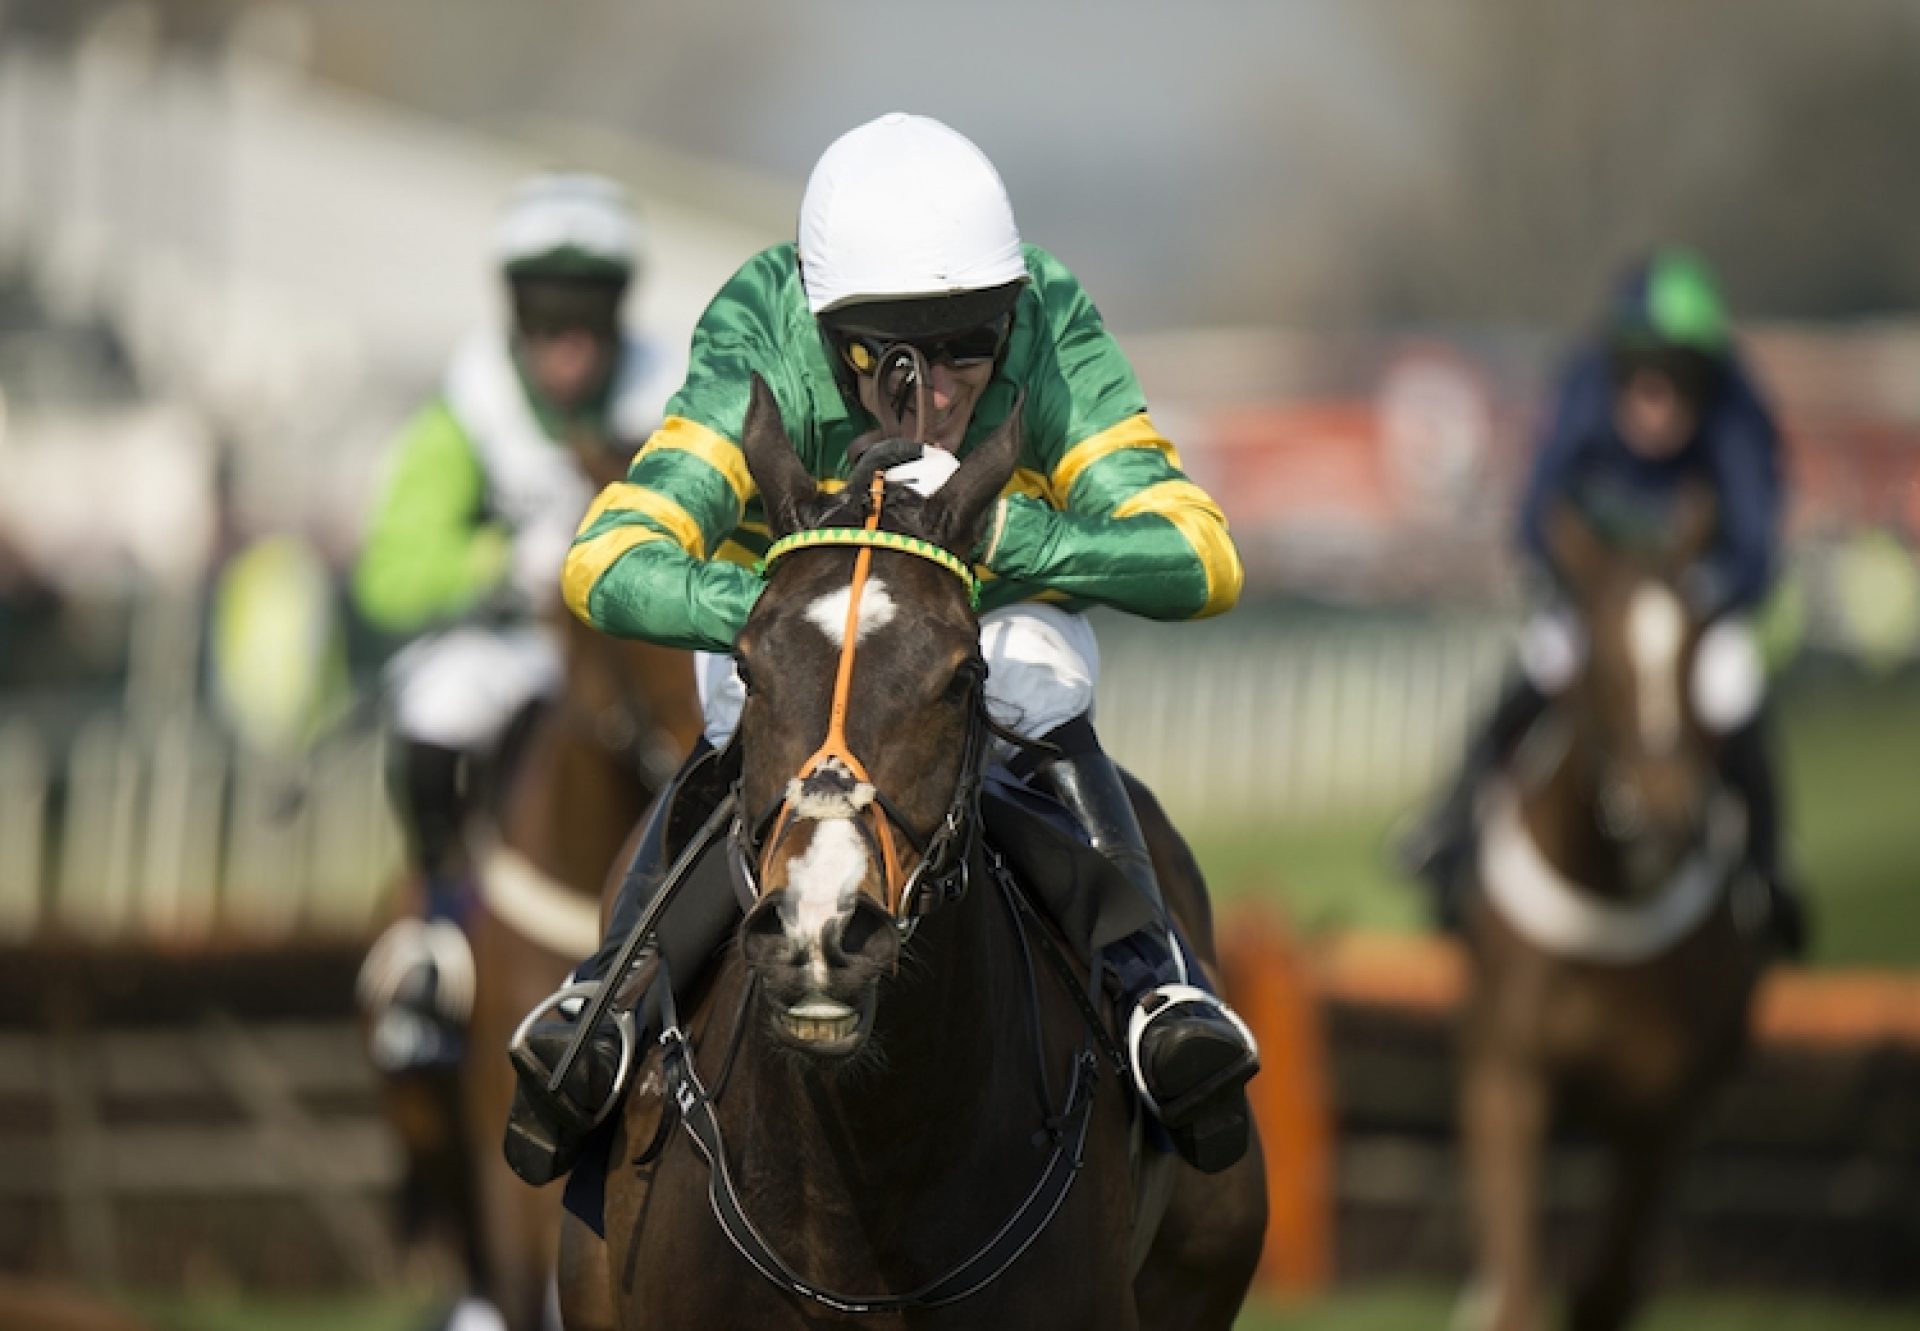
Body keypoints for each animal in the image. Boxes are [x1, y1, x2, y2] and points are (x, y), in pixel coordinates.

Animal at [1451, 499, 1766, 1329]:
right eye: (1597, 658)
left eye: (1696, 641)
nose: (1662, 813)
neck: (1611, 904)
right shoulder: (1508, 1074)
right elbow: (1518, 1281)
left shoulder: (1662, 1109)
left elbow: (1608, 1282)